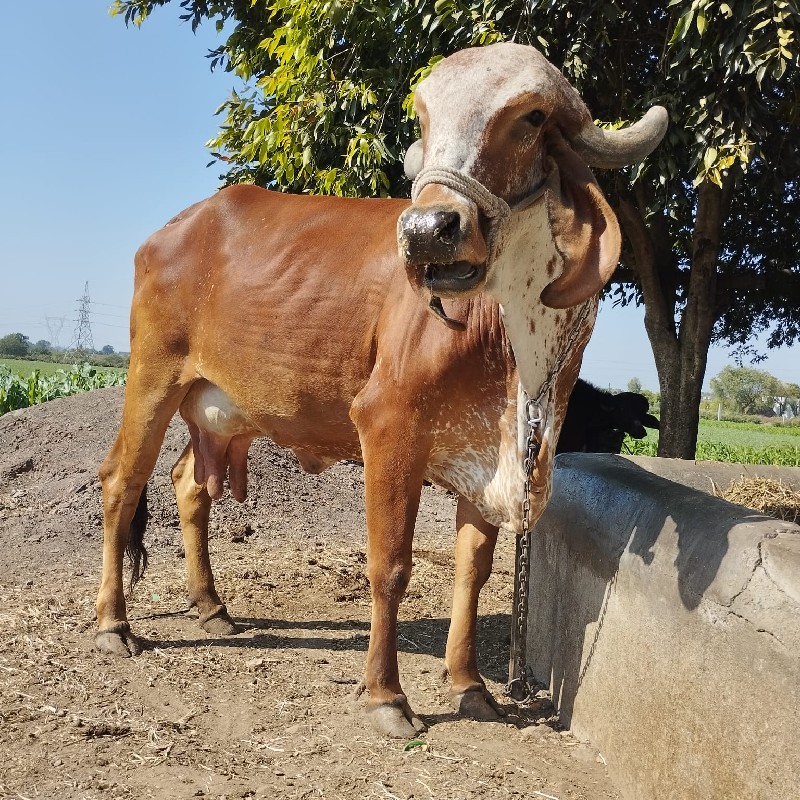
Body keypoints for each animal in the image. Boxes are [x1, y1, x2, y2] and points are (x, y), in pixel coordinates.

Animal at [97, 43, 664, 736]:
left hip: (216, 407)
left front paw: (470, 685)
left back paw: (211, 606)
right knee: (122, 481)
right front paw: (387, 695)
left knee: (189, 487)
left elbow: (473, 571)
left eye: (530, 118)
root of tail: (178, 226)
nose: (427, 230)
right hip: (152, 376)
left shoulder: (487, 455)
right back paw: (112, 624)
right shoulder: (390, 427)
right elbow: (391, 566)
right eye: (424, 119)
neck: (517, 344)